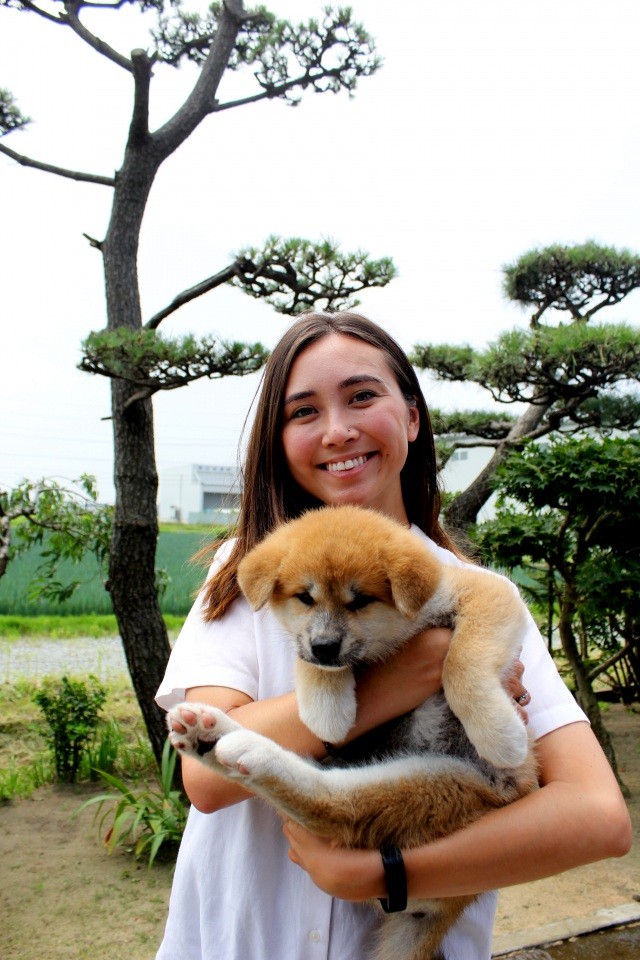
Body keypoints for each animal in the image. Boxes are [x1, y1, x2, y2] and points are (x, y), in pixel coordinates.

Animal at [168, 506, 536, 956]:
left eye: (359, 600)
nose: (325, 646)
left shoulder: (486, 594)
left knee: (333, 807)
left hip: (439, 787)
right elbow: (304, 657)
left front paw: (499, 732)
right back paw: (209, 734)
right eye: (305, 597)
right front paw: (326, 706)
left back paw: (237, 747)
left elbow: (461, 661)